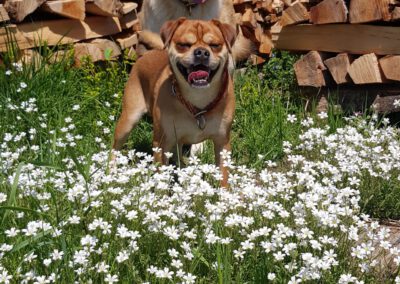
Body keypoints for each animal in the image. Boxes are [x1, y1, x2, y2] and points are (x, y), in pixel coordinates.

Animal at [112, 18, 236, 186]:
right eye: (183, 44)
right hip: (129, 119)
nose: (202, 52)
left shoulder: (222, 142)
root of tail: (146, 54)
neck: (198, 99)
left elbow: (223, 174)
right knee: (115, 147)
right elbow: (161, 177)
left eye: (215, 45)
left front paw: (224, 192)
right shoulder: (161, 144)